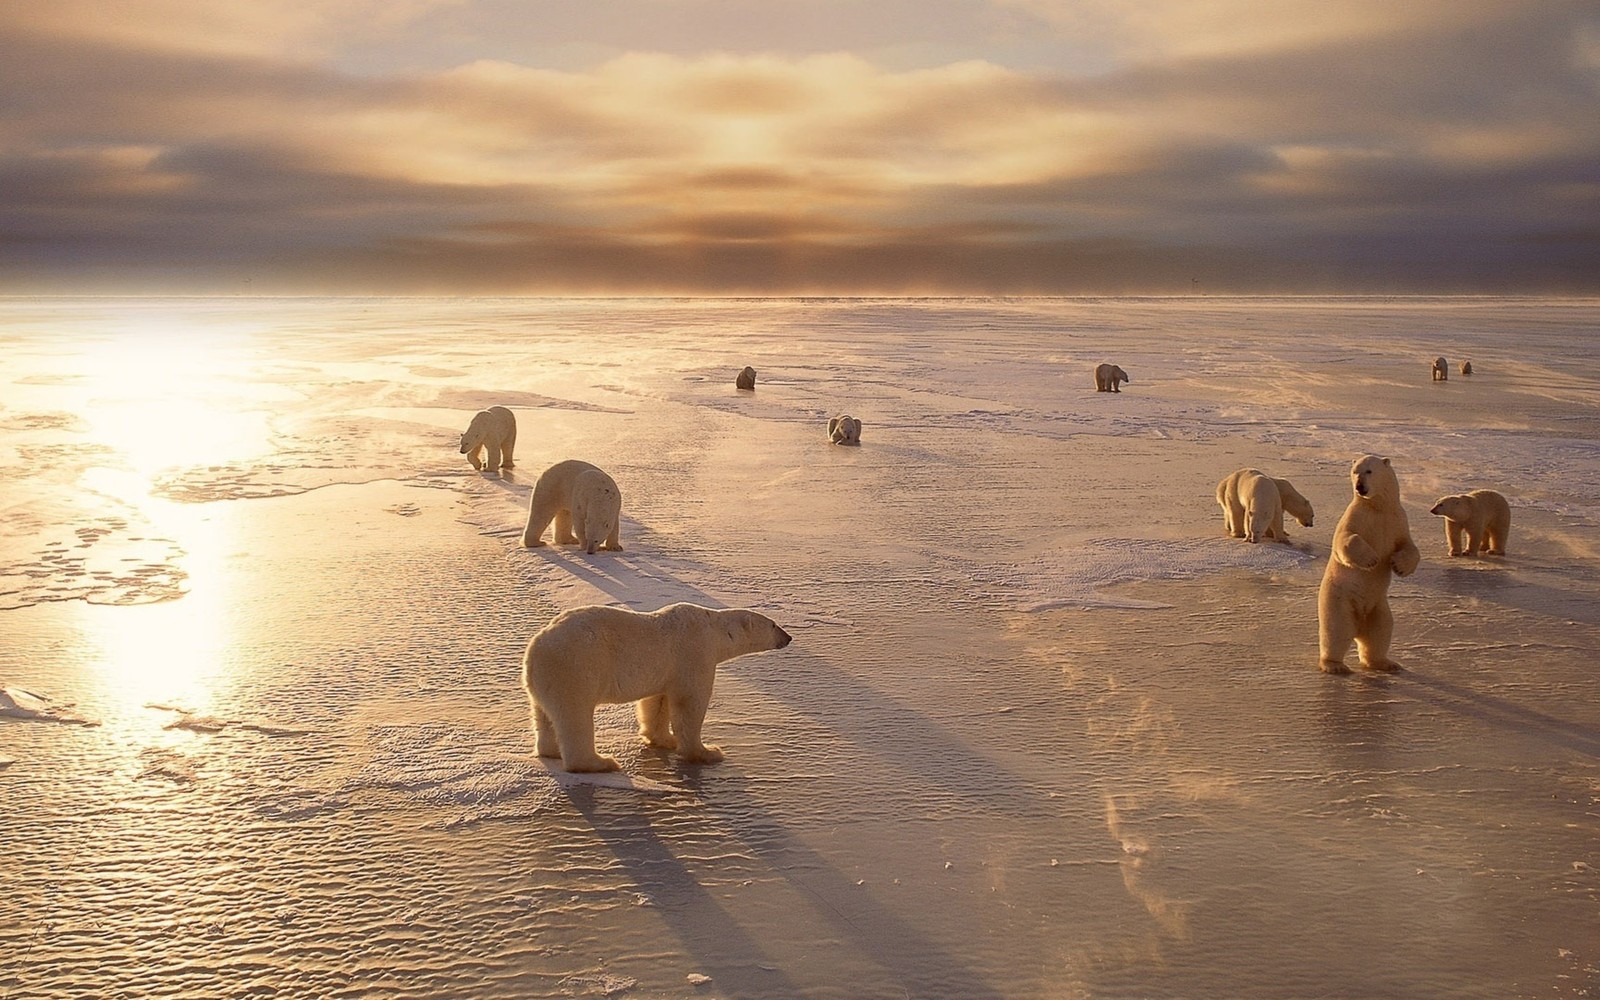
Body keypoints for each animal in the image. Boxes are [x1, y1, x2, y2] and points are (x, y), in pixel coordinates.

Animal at [524, 601, 793, 771]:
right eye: (773, 625)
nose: (788, 637)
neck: (714, 629)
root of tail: (535, 648)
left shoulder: (666, 670)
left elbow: (657, 702)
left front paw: (664, 739)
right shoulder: (694, 652)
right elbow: (690, 704)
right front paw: (707, 752)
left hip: (545, 680)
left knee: (544, 715)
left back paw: (550, 751)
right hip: (575, 669)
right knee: (575, 716)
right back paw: (601, 763)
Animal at [1318, 457, 1420, 675]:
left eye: (1369, 471)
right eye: (1355, 471)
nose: (1359, 487)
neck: (1378, 507)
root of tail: (1359, 627)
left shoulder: (1397, 520)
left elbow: (1408, 546)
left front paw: (1399, 566)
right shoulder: (1356, 516)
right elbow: (1346, 539)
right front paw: (1371, 559)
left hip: (1378, 607)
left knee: (1380, 632)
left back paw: (1385, 663)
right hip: (1339, 600)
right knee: (1337, 631)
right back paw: (1335, 665)